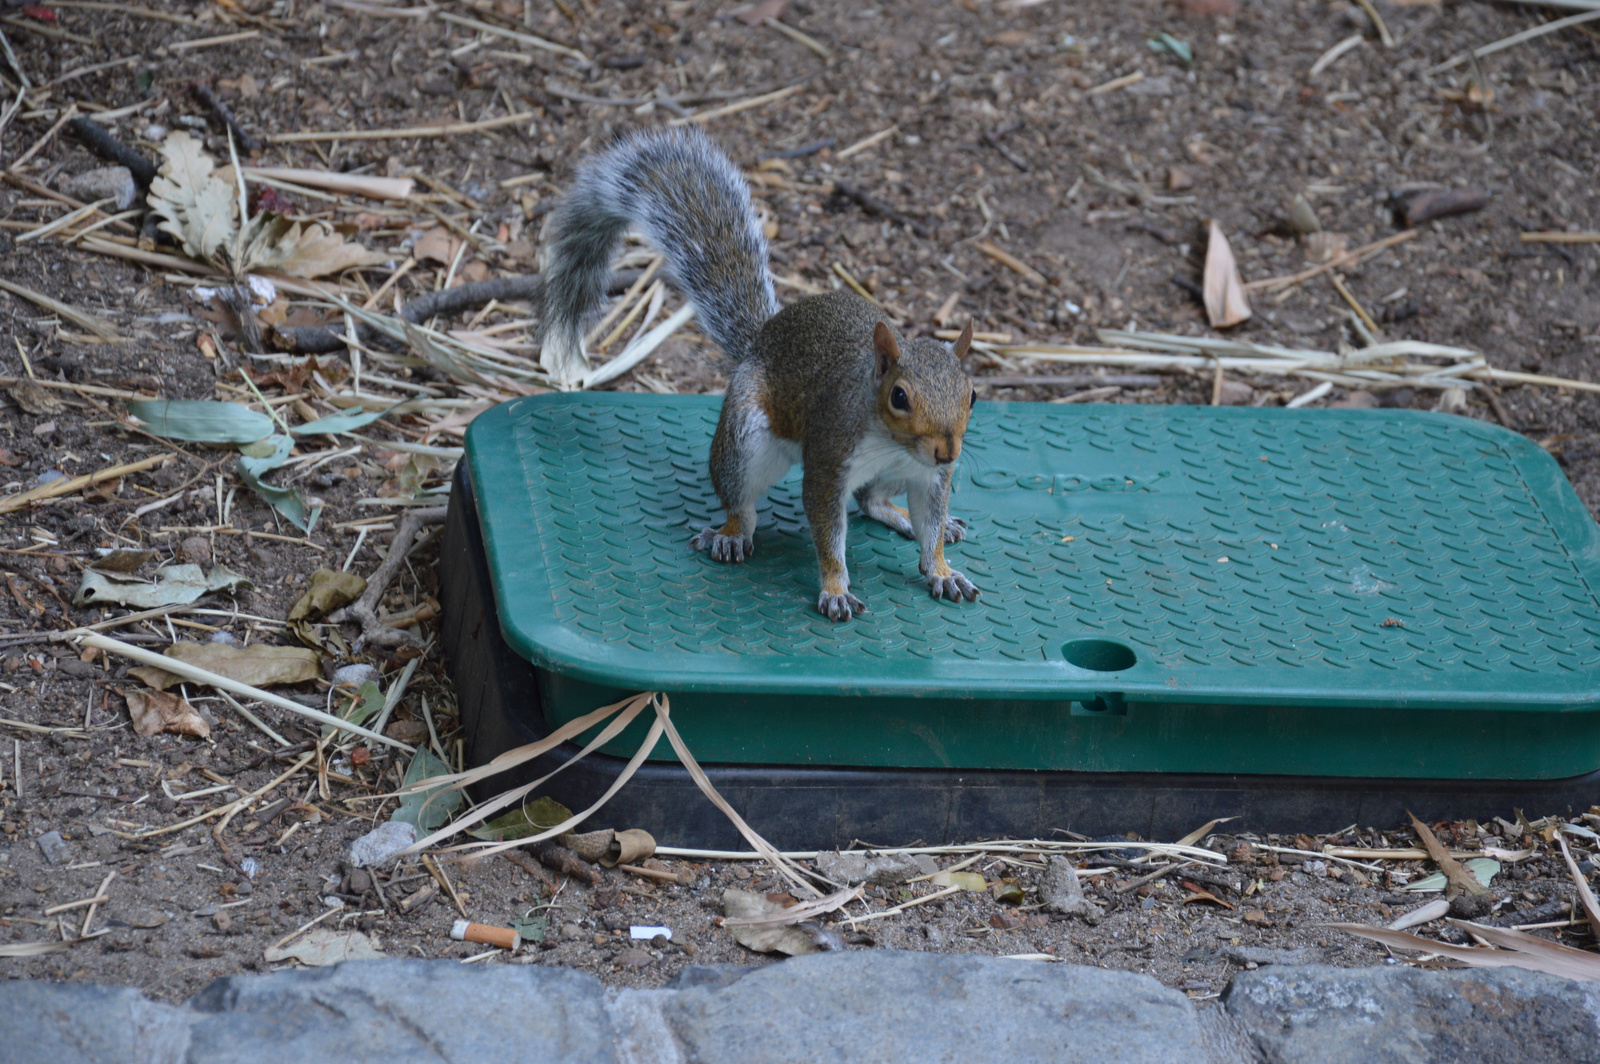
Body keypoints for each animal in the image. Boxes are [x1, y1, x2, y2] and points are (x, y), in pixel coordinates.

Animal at [544, 129, 979, 624]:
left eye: (972, 395)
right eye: (900, 397)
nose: (947, 451)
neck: (893, 443)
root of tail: (760, 340)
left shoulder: (929, 479)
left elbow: (931, 526)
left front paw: (942, 570)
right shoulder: (830, 457)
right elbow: (828, 529)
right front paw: (835, 587)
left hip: (887, 477)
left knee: (872, 501)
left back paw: (913, 519)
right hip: (746, 436)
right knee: (742, 499)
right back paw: (733, 533)